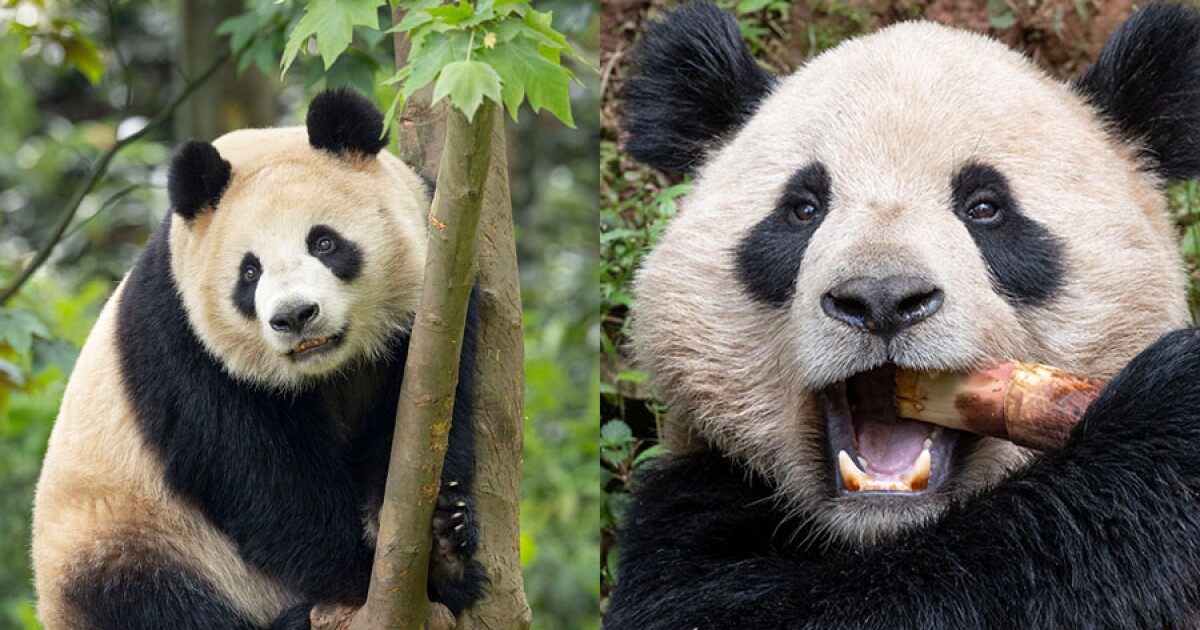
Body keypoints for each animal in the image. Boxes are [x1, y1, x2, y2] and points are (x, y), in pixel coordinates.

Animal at [31, 89, 485, 629]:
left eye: (324, 242)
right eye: (249, 272)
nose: (295, 316)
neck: (328, 370)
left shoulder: (441, 296)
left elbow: (424, 422)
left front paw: (443, 546)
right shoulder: (183, 340)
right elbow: (260, 474)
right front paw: (360, 573)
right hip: (126, 534)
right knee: (146, 599)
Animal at [607, 2, 1200, 627]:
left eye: (985, 207)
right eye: (803, 209)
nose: (881, 299)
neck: (889, 528)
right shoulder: (688, 509)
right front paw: (1165, 414)